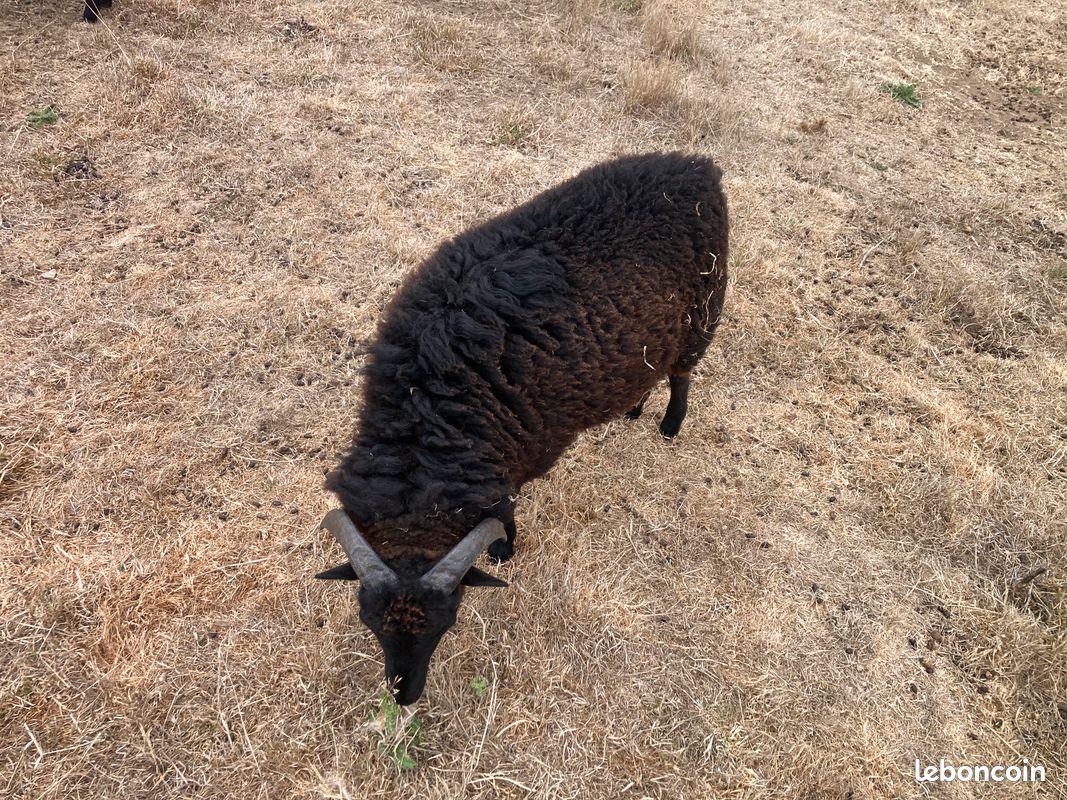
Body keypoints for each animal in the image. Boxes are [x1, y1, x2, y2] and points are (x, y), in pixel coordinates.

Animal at [318, 152, 729, 705]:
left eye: (448, 621)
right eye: (368, 621)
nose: (404, 696)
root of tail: (697, 165)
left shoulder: (519, 459)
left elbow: (505, 513)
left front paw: (503, 550)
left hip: (702, 315)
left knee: (682, 374)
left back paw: (669, 425)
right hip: (649, 337)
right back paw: (634, 409)